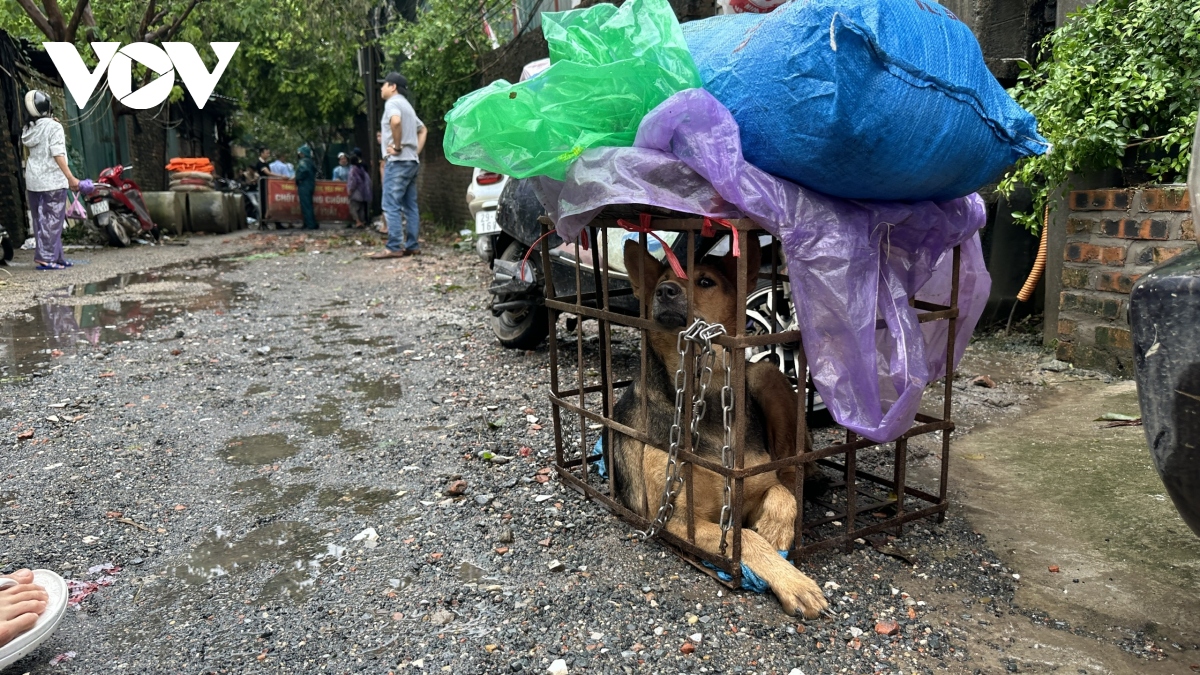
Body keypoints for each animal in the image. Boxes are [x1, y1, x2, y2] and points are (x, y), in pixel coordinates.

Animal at [614, 235, 830, 614]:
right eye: (660, 282)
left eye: (705, 282)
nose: (665, 291)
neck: (705, 400)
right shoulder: (674, 518)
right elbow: (749, 538)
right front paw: (792, 580)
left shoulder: (752, 486)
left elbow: (779, 496)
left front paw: (776, 531)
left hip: (765, 374)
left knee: (791, 470)